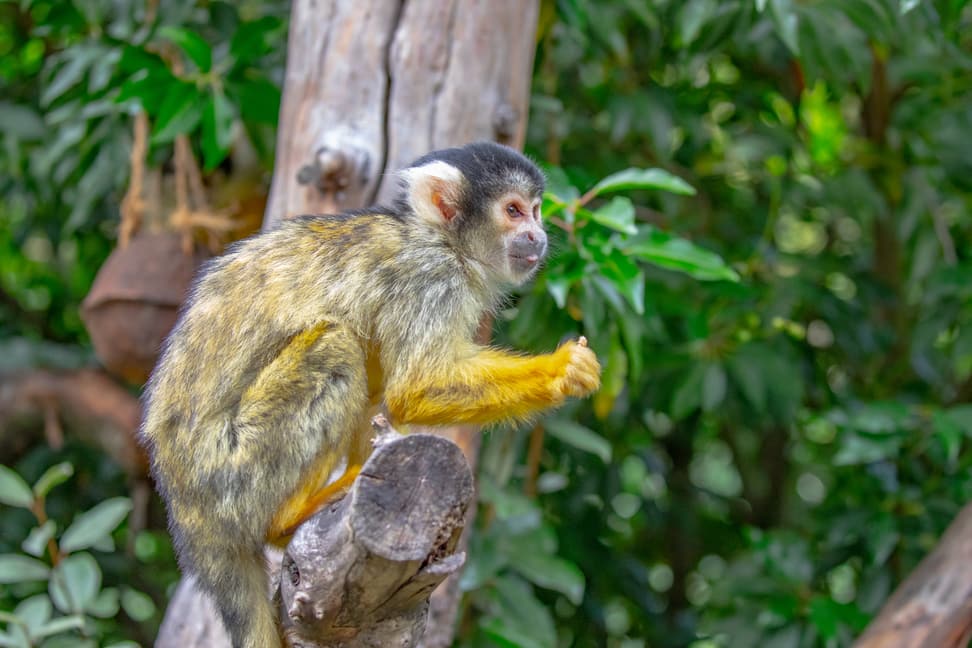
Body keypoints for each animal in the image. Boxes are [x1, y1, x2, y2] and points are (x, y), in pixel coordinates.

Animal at [140, 143, 600, 648]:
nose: (537, 234)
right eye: (513, 211)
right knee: (336, 347)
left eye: (535, 211)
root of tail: (184, 507)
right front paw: (562, 371)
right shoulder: (428, 277)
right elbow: (416, 385)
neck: (435, 238)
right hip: (229, 474)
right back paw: (289, 518)